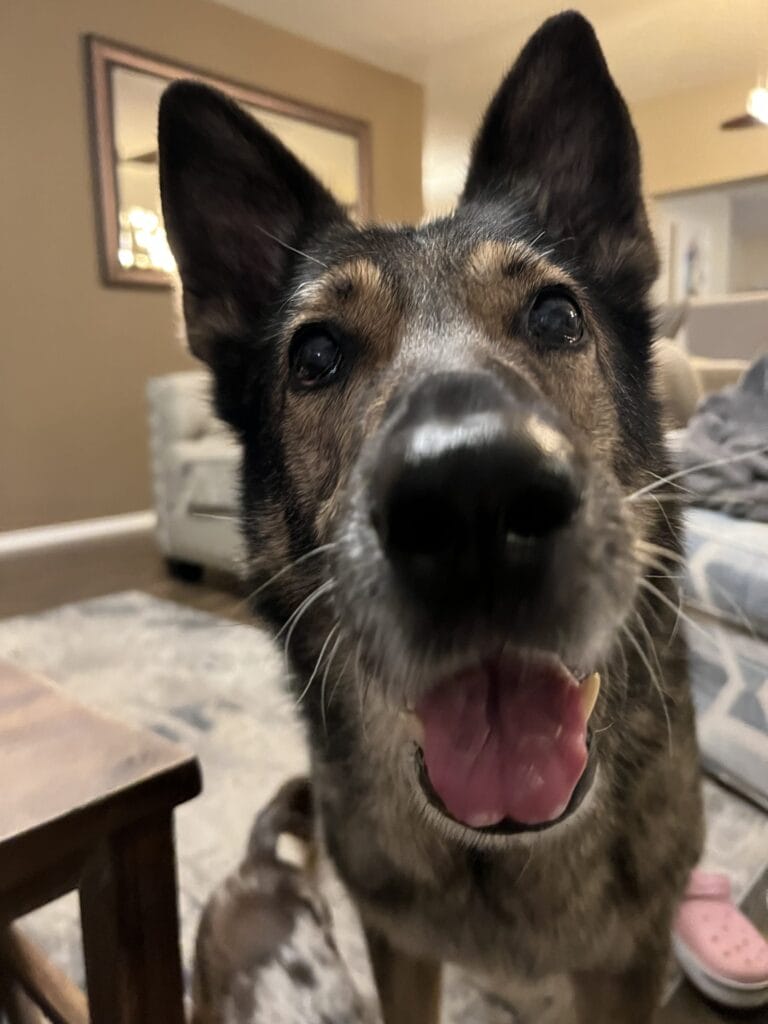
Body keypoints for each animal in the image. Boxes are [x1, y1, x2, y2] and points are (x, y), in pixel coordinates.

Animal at [159, 11, 703, 1022]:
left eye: (557, 316)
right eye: (316, 356)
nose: (471, 498)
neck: (502, 847)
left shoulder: (630, 960)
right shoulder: (397, 944)